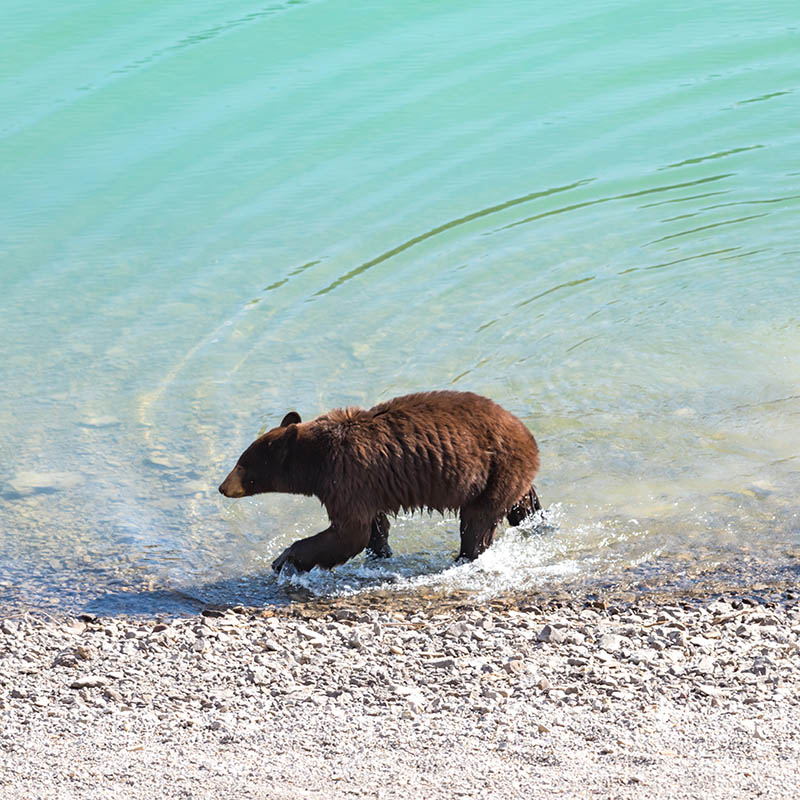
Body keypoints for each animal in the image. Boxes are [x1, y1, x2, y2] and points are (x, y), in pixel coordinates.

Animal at [219, 390, 540, 572]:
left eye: (242, 464)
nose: (222, 487)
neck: (315, 461)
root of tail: (527, 434)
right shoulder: (365, 487)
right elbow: (373, 526)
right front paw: (380, 553)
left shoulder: (345, 475)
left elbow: (349, 531)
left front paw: (284, 558)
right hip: (508, 474)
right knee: (522, 504)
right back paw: (536, 521)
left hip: (495, 470)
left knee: (477, 523)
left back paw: (463, 557)